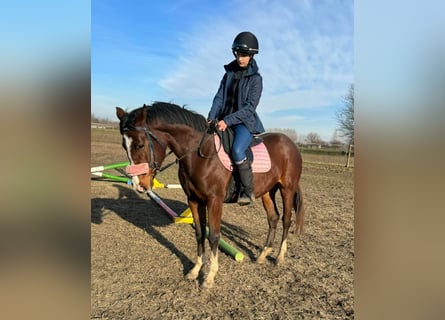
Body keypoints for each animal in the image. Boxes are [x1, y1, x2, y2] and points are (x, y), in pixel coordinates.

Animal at [115, 102, 306, 288]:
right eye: (124, 145)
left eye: (140, 144)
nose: (139, 185)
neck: (200, 155)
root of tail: (291, 144)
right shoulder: (193, 199)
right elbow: (200, 233)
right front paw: (195, 270)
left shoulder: (214, 200)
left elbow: (214, 235)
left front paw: (209, 277)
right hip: (267, 191)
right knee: (273, 218)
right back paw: (262, 255)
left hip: (287, 189)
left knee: (286, 220)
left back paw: (279, 257)